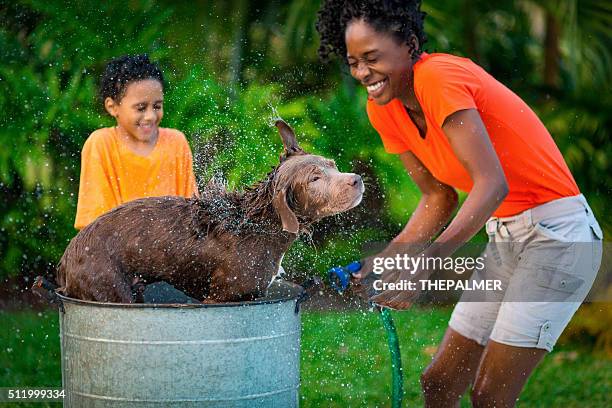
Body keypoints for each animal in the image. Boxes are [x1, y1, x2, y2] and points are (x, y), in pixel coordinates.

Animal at [56, 118, 364, 302]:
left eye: (332, 164)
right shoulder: (221, 297)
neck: (258, 226)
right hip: (109, 287)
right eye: (315, 179)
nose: (357, 179)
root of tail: (64, 261)